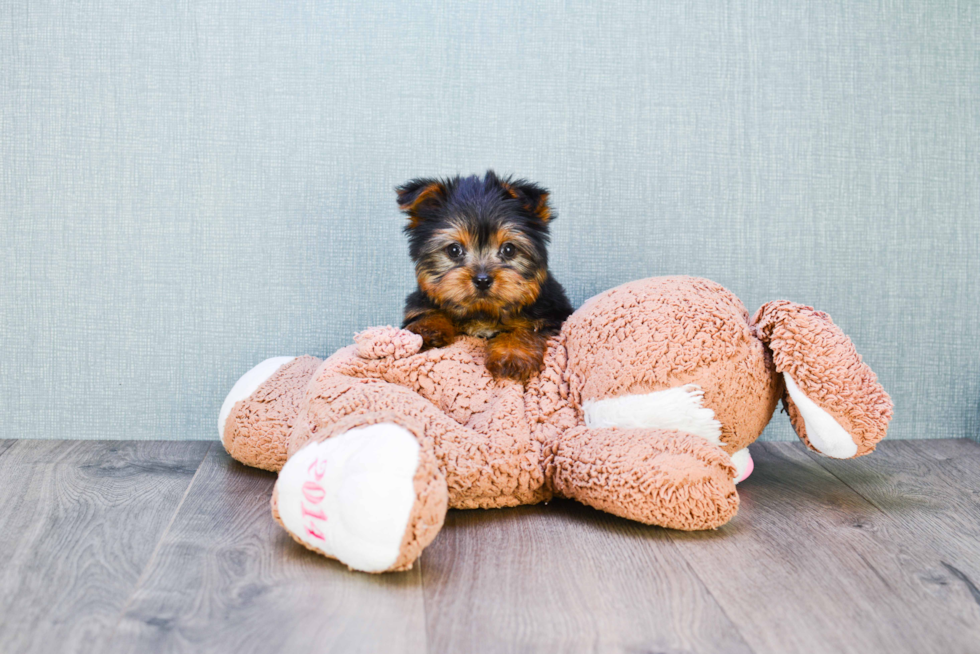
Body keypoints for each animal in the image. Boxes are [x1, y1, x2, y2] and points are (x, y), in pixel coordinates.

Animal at [398, 172, 576, 384]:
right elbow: (427, 310)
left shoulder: (552, 313)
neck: (482, 311)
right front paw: (428, 327)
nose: (482, 280)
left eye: (509, 249)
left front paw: (512, 353)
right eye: (454, 250)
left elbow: (528, 329)